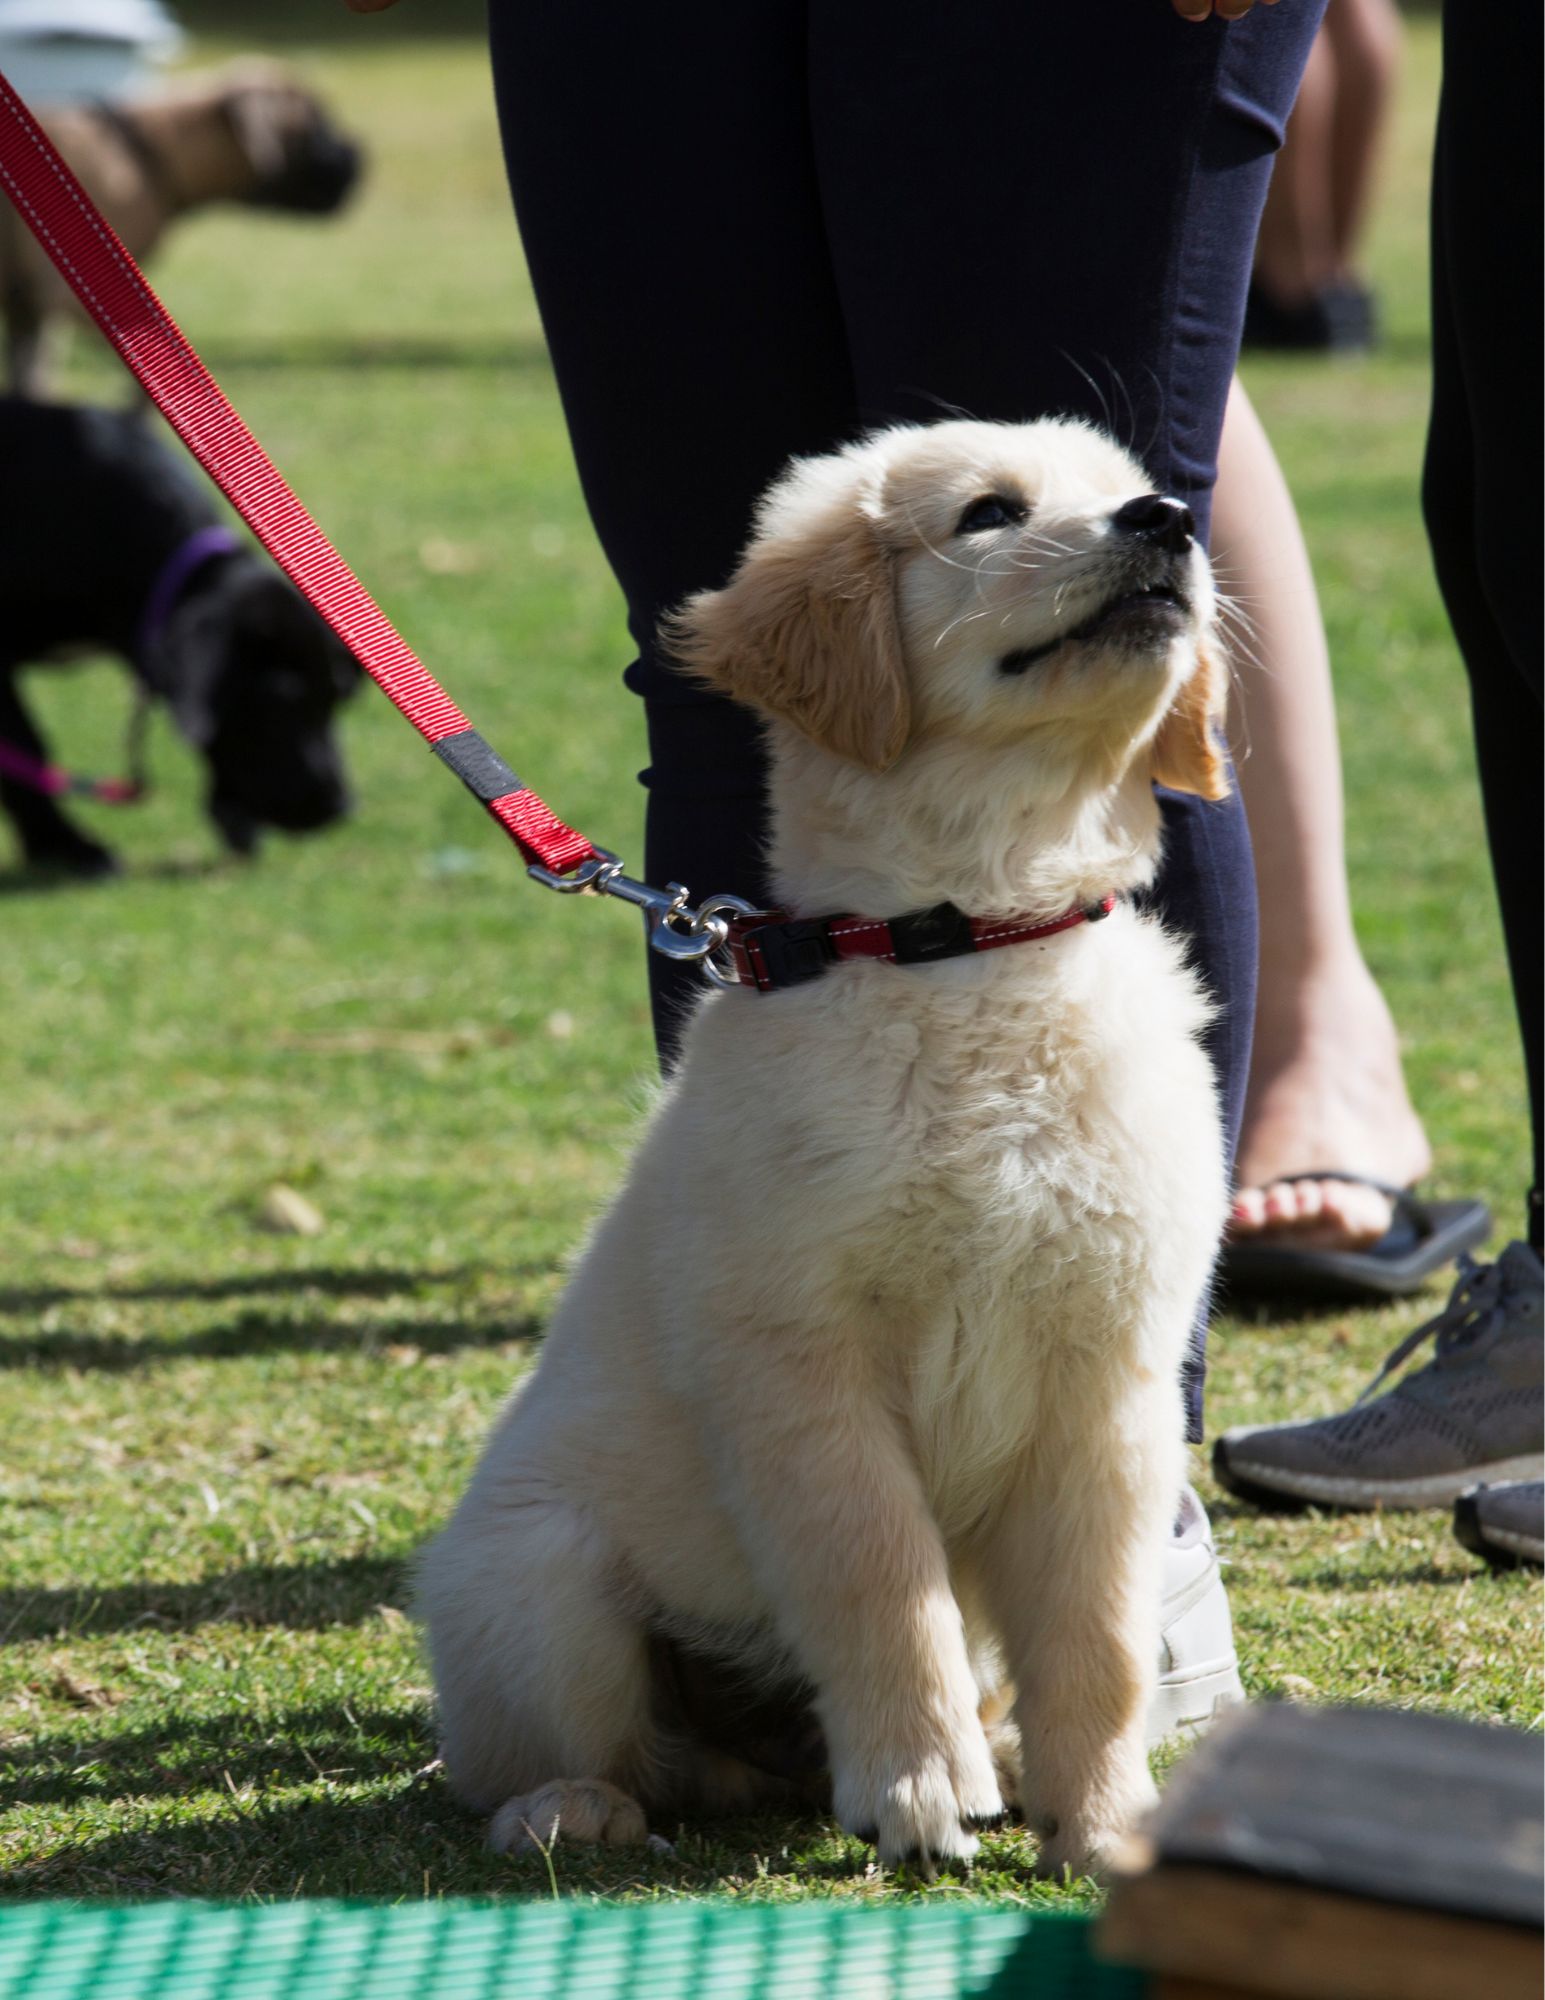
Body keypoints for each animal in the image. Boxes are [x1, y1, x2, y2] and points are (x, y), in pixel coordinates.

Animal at [2, 60, 362, 396]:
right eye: (318, 126)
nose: (364, 158)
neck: (145, 154)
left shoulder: (28, 311)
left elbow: (29, 384)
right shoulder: (68, 302)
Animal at [416, 418, 1224, 1872]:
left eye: (1132, 486)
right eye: (988, 513)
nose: (1167, 519)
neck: (972, 946)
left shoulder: (1110, 1377)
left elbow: (1099, 1636)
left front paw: (1103, 1818)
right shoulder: (800, 1367)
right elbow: (878, 1580)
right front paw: (916, 1784)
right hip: (537, 1580)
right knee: (580, 1754)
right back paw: (573, 1805)